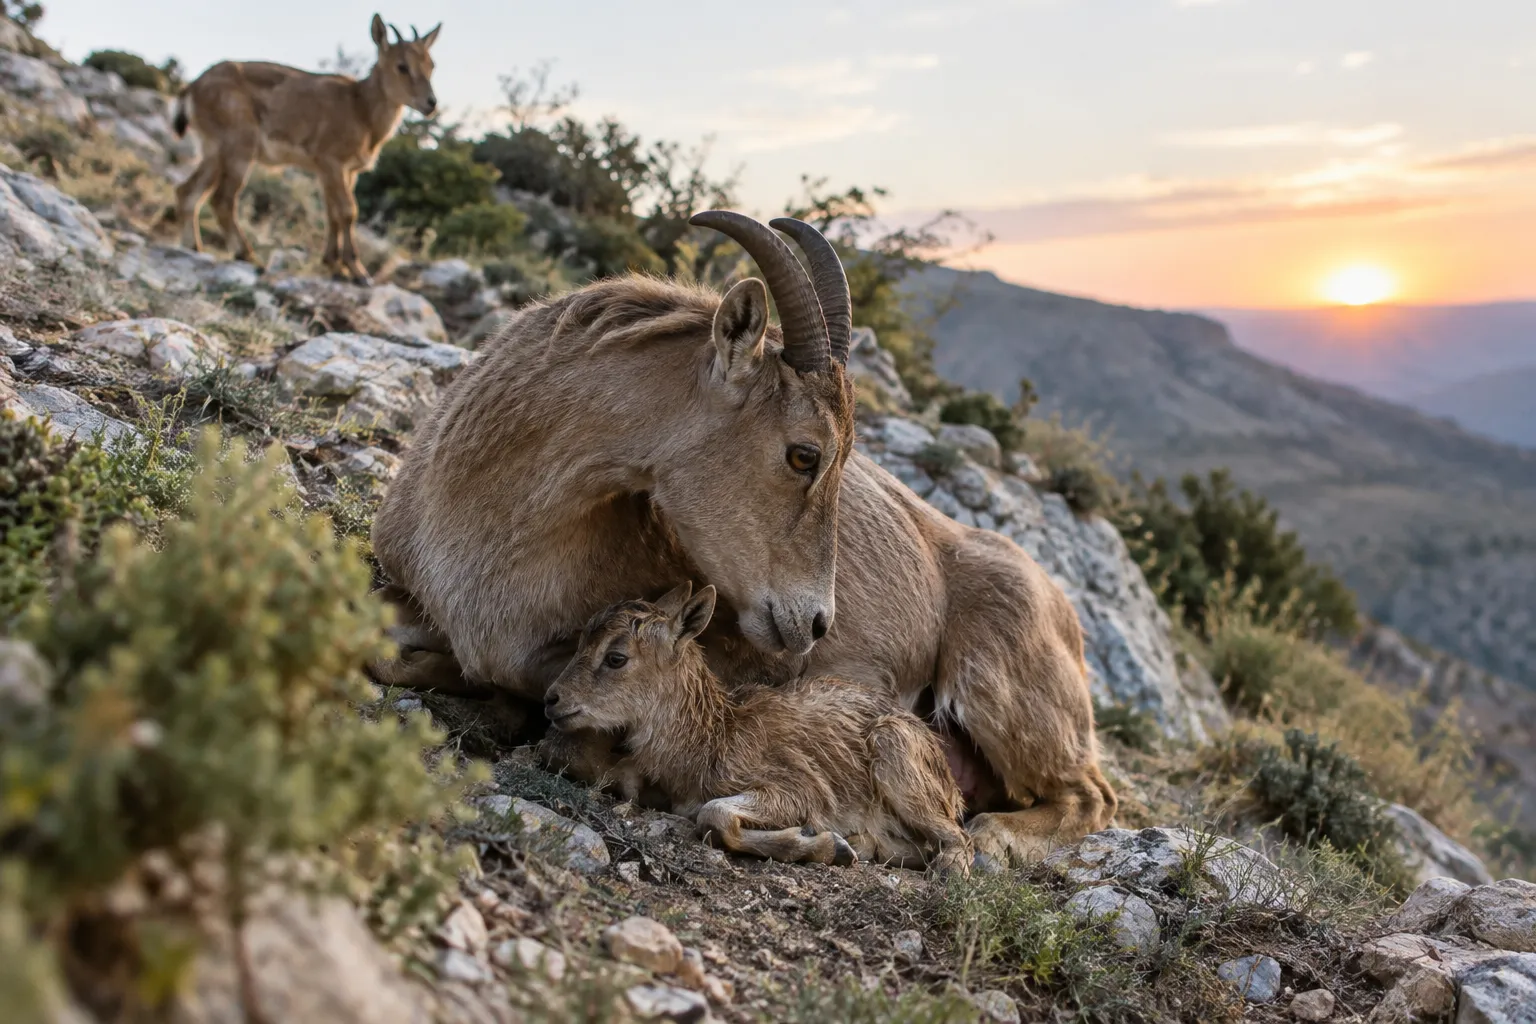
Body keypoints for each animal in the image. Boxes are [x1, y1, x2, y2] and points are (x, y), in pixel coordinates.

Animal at [171, 13, 439, 283]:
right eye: (402, 66)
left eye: (431, 65)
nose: (431, 104)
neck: (361, 108)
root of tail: (192, 88)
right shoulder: (331, 161)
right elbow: (347, 211)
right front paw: (358, 271)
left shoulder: (342, 171)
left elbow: (332, 213)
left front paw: (335, 265)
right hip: (240, 146)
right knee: (222, 199)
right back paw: (247, 255)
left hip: (213, 149)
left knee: (188, 191)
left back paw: (193, 247)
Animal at [542, 583, 973, 873]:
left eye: (616, 657)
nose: (552, 699)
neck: (710, 740)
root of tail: (953, 790)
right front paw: (833, 845)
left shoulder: (796, 787)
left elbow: (714, 813)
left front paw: (824, 844)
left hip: (897, 757)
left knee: (959, 839)